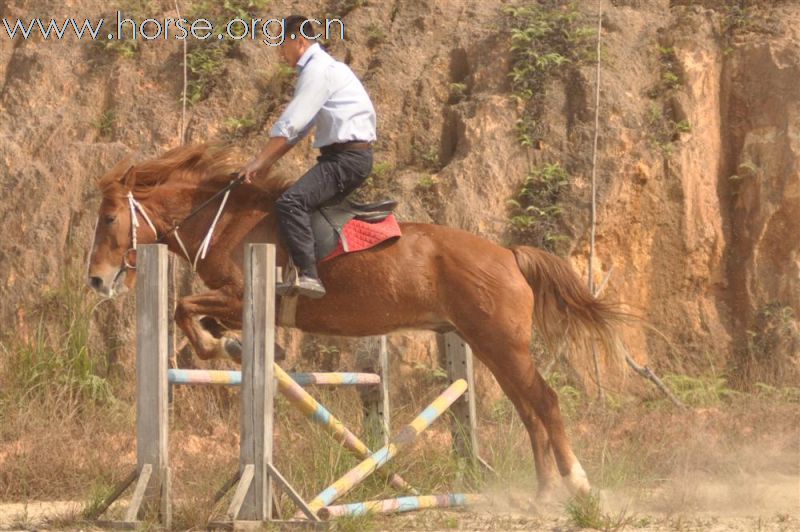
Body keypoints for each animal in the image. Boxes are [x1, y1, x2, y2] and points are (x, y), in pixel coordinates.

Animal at [86, 142, 624, 498]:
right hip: (486, 344)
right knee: (528, 409)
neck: (226, 222)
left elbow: (185, 309)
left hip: (502, 343)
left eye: (109, 219)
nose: (96, 280)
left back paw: (576, 484)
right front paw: (238, 345)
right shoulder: (232, 301)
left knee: (544, 402)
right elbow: (195, 316)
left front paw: (223, 347)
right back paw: (544, 491)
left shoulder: (241, 295)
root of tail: (509, 255)